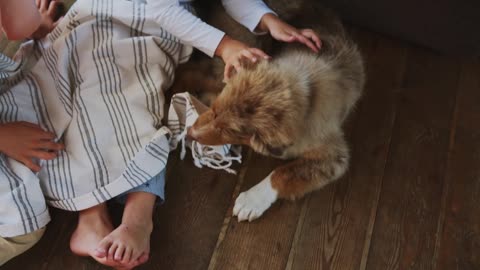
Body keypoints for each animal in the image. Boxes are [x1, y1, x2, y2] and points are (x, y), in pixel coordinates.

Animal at [184, 2, 364, 221]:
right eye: (215, 110)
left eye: (229, 131)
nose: (190, 133)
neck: (307, 90)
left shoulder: (333, 154)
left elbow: (283, 172)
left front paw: (251, 200)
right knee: (190, 72)